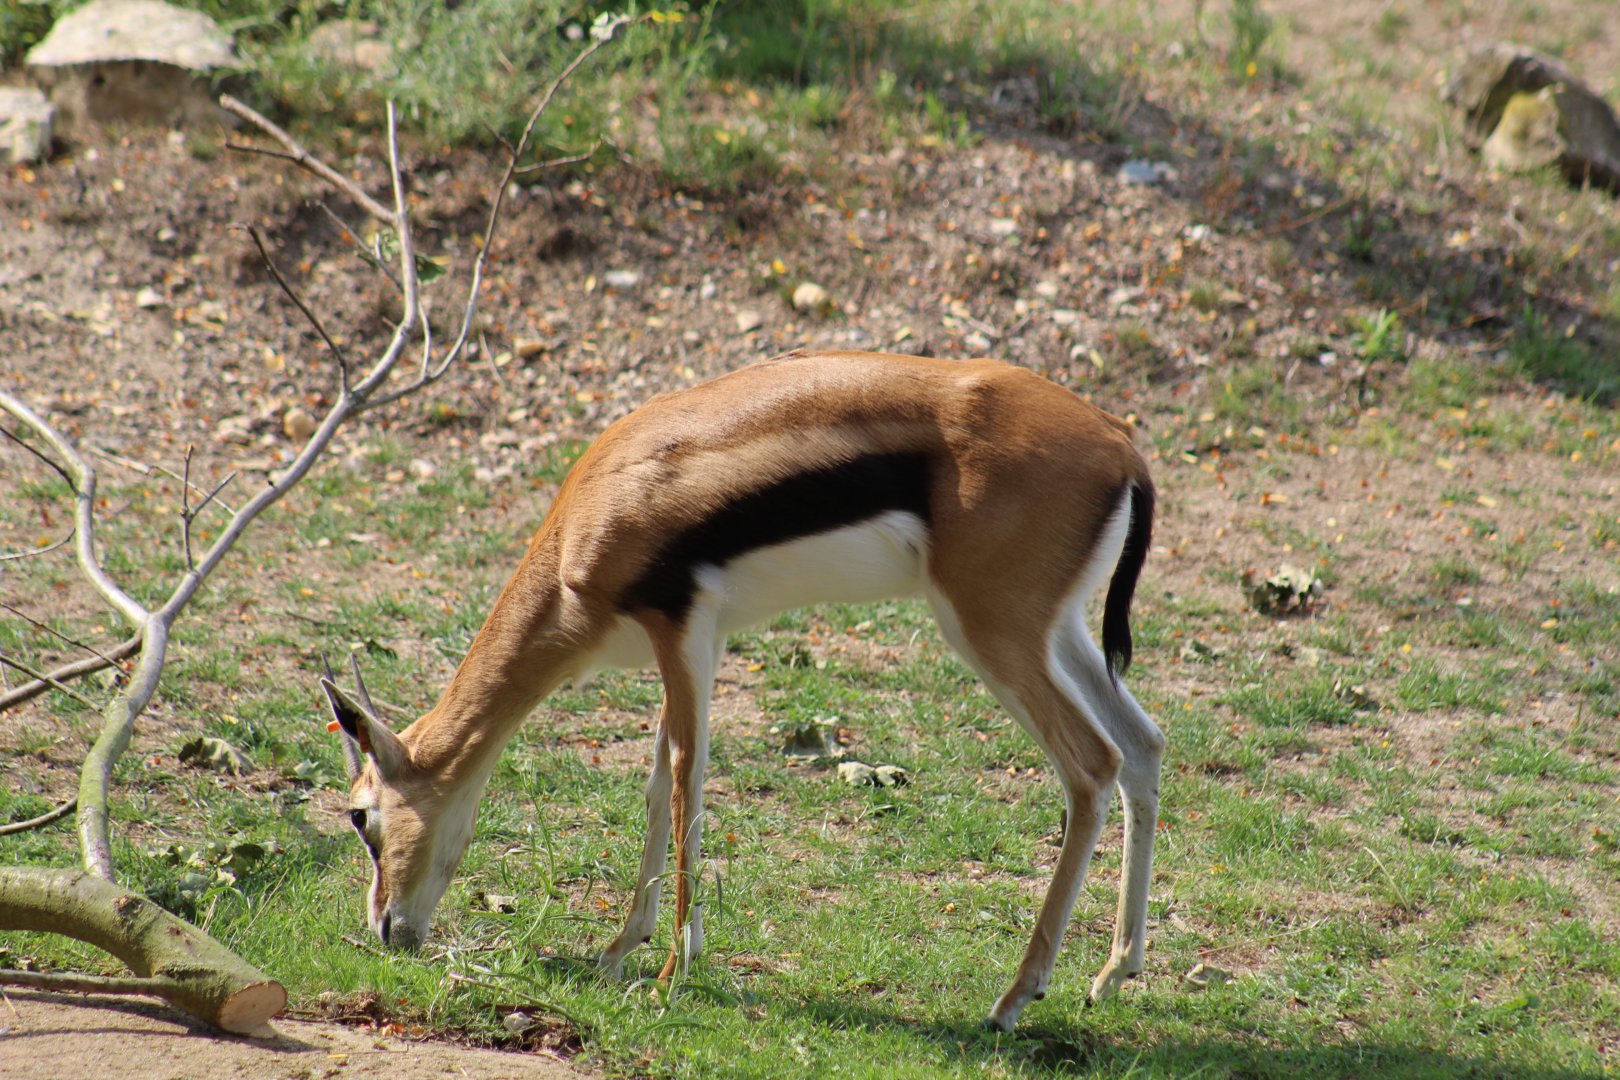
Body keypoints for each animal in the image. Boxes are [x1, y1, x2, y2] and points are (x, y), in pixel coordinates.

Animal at [321, 348, 1161, 1030]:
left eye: (361, 817)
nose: (385, 930)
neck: (581, 534)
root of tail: (1119, 443)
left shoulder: (679, 629)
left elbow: (686, 783)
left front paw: (668, 975)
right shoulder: (701, 642)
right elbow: (658, 788)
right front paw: (618, 953)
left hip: (989, 630)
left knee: (1093, 766)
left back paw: (1015, 999)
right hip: (1057, 632)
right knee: (1145, 745)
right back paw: (1113, 974)